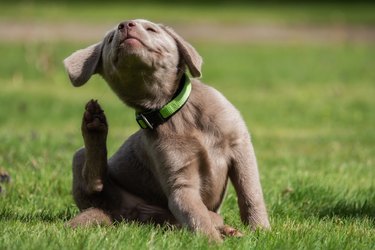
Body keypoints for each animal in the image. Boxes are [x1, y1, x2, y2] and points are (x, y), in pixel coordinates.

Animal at [64, 18, 270, 241]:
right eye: (110, 39)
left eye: (151, 29)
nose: (125, 25)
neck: (171, 108)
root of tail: (119, 215)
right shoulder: (180, 182)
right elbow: (196, 214)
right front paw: (212, 242)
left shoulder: (240, 146)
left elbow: (250, 192)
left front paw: (260, 230)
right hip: (81, 161)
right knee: (93, 183)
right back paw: (94, 124)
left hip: (166, 220)